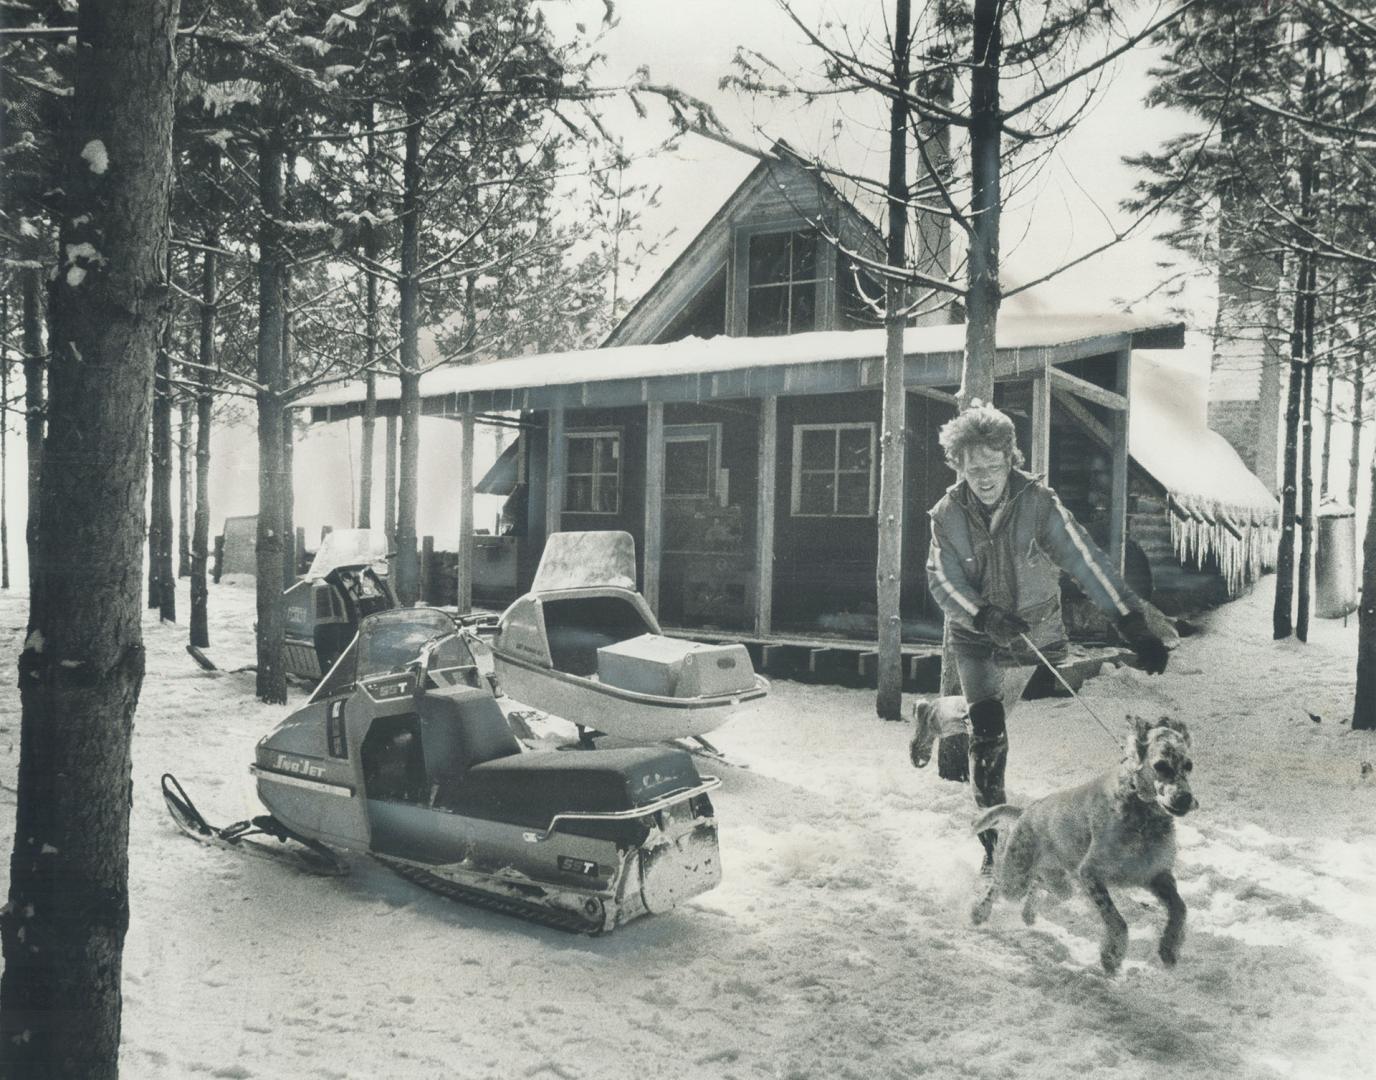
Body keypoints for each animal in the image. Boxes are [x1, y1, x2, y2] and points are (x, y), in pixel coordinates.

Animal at [968, 709, 1194, 974]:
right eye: (1161, 765)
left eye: (1189, 765)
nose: (1185, 799)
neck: (1140, 816)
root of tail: (1027, 810)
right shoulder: (1090, 873)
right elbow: (1117, 920)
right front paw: (1112, 956)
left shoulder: (1156, 874)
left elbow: (1180, 908)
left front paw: (1169, 949)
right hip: (1017, 878)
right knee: (998, 884)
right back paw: (979, 913)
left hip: (1060, 882)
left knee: (1040, 883)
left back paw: (1028, 914)